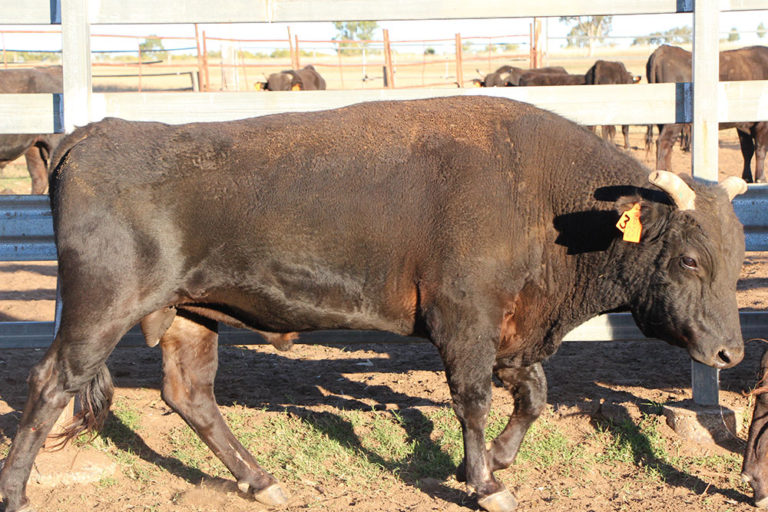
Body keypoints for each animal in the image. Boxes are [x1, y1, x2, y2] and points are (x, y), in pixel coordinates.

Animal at [648, 44, 768, 182]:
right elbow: (760, 150)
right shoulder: (762, 124)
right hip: (673, 124)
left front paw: (747, 178)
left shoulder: (743, 125)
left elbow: (747, 150)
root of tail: (664, 49)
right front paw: (761, 178)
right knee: (663, 143)